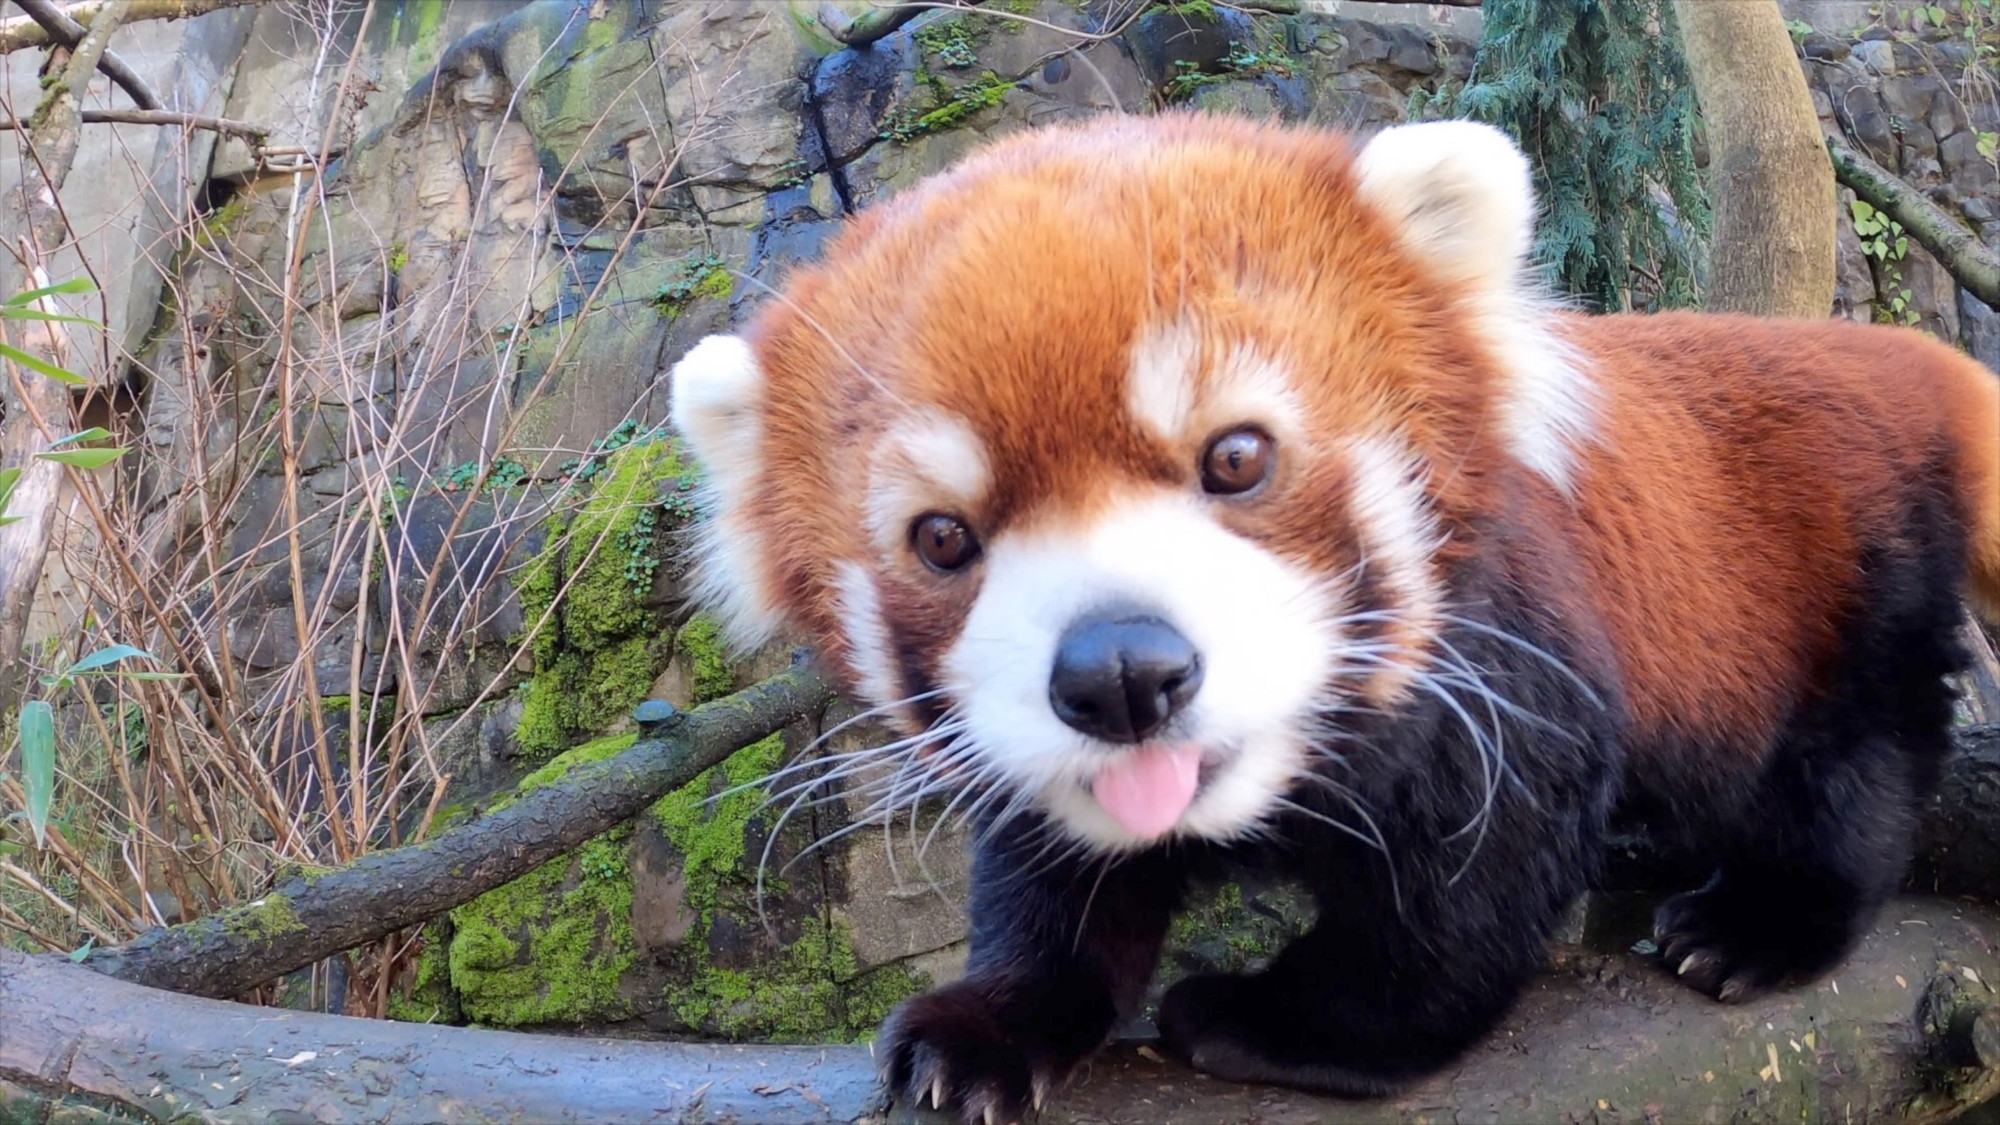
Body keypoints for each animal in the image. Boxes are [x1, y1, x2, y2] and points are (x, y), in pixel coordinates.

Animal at [668, 116, 2000, 1120]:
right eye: (943, 538)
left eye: (1236, 457)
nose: (1120, 673)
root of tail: (1901, 361)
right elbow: (1054, 870)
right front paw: (991, 1021)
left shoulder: (1507, 656)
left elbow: (1466, 892)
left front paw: (1283, 1021)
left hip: (1838, 574)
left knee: (1850, 764)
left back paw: (1758, 920)